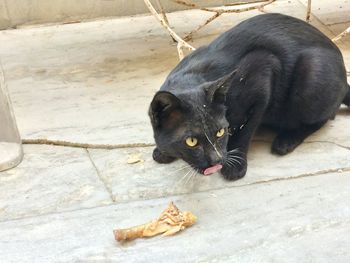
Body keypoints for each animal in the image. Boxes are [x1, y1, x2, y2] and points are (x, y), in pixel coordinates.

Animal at [148, 12, 350, 182]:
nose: (217, 160)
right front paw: (163, 152)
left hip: (310, 78)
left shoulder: (263, 72)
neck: (191, 77)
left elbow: (245, 131)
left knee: (324, 117)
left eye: (220, 132)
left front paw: (235, 165)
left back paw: (286, 140)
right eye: (191, 141)